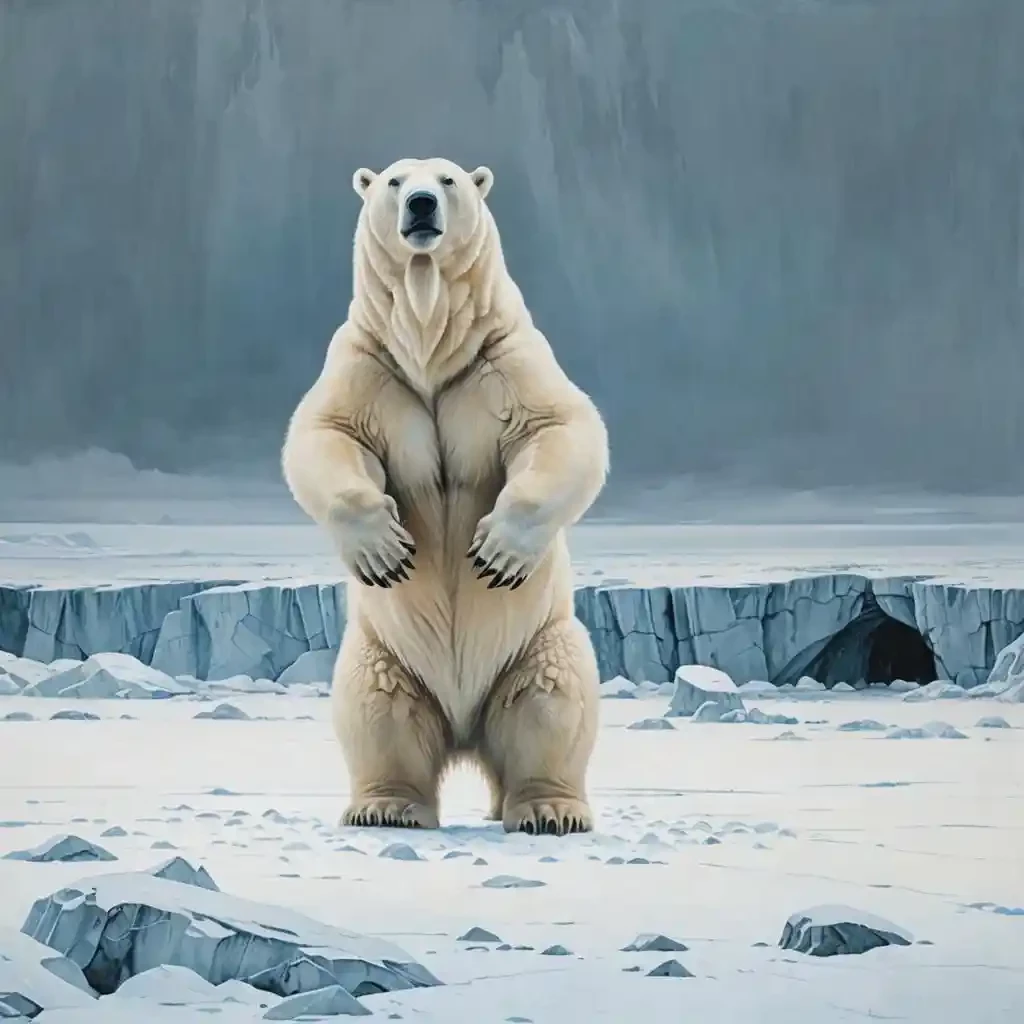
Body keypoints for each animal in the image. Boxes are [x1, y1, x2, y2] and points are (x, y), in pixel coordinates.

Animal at [281, 157, 609, 836]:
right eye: (394, 182)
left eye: (450, 180)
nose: (423, 205)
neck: (431, 346)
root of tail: (464, 733)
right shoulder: (368, 362)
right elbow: (326, 433)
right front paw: (383, 550)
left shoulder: (504, 357)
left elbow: (559, 425)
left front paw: (496, 552)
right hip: (382, 652)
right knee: (376, 711)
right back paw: (386, 808)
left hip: (539, 641)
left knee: (550, 703)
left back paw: (548, 810)